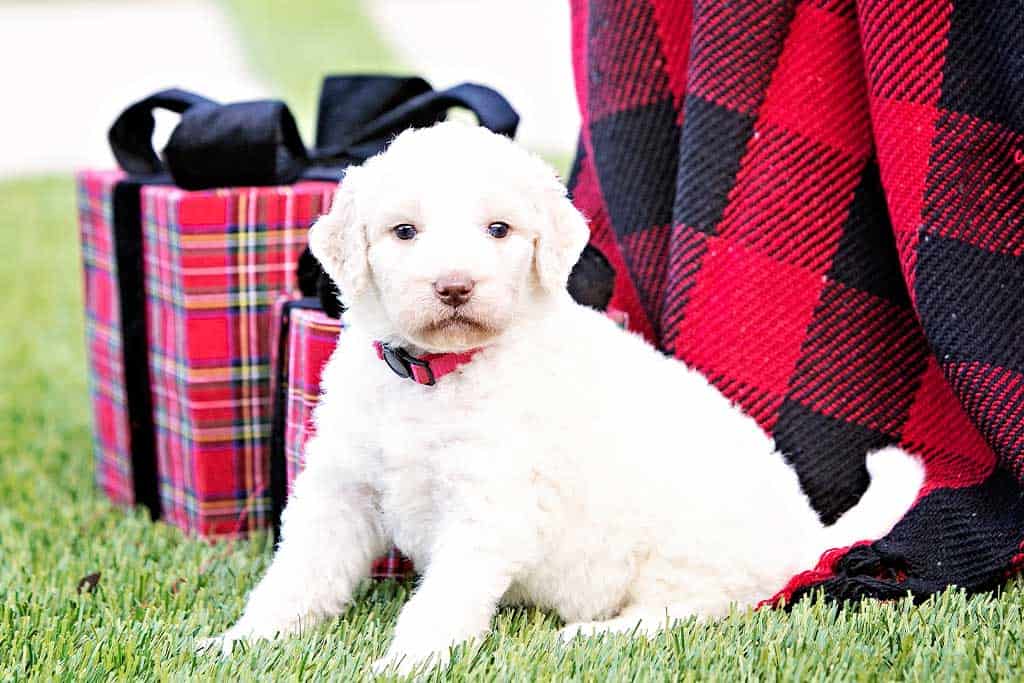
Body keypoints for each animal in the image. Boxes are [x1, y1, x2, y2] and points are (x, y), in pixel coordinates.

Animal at [203, 121, 925, 671]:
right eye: (404, 232)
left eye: (499, 230)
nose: (455, 286)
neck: (437, 375)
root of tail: (808, 534)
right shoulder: (340, 488)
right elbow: (299, 574)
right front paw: (240, 641)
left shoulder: (489, 507)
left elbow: (442, 600)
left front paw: (407, 662)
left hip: (687, 547)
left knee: (689, 609)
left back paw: (589, 633)